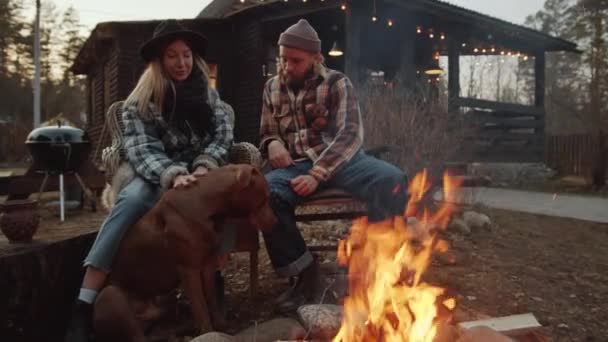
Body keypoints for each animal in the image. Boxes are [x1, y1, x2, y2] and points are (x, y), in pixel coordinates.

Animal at [92, 164, 276, 340]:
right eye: (266, 197)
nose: (275, 222)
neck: (208, 202)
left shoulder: (208, 265)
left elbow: (211, 299)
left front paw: (221, 325)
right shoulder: (189, 270)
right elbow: (201, 308)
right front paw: (209, 332)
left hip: (164, 300)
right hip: (111, 294)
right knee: (137, 335)